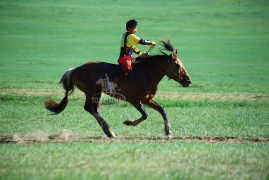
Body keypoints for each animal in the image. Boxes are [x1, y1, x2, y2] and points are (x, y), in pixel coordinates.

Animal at [44, 39, 191, 138]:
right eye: (177, 65)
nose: (188, 81)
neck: (146, 73)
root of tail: (75, 70)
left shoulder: (147, 100)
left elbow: (162, 111)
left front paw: (168, 132)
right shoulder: (134, 100)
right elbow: (145, 114)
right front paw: (128, 122)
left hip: (97, 92)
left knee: (93, 109)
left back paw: (108, 131)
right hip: (91, 92)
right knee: (91, 109)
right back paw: (109, 131)